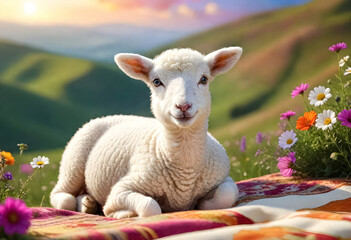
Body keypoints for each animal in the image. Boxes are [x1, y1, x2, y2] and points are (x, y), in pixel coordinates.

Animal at [50, 46, 242, 218]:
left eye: (204, 79)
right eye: (156, 82)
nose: (183, 106)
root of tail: (111, 116)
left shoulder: (224, 178)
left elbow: (227, 195)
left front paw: (203, 203)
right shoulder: (121, 189)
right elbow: (150, 207)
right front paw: (122, 213)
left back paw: (88, 204)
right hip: (73, 160)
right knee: (63, 196)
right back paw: (84, 205)